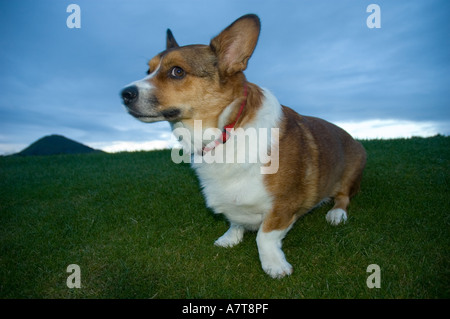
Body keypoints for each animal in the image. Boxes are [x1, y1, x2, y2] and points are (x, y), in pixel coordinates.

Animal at [122, 13, 366, 278]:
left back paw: (336, 213)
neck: (227, 130)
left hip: (352, 169)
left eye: (177, 71)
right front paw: (231, 237)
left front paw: (274, 265)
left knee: (344, 197)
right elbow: (235, 221)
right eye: (148, 70)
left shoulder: (282, 207)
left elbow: (264, 237)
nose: (124, 94)